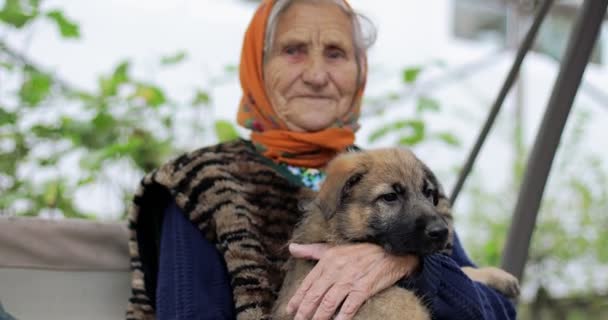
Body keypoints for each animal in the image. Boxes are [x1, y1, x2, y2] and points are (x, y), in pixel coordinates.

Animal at [274, 149, 520, 320]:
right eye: (390, 197)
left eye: (428, 192)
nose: (442, 232)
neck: (339, 234)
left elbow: (461, 269)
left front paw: (499, 276)